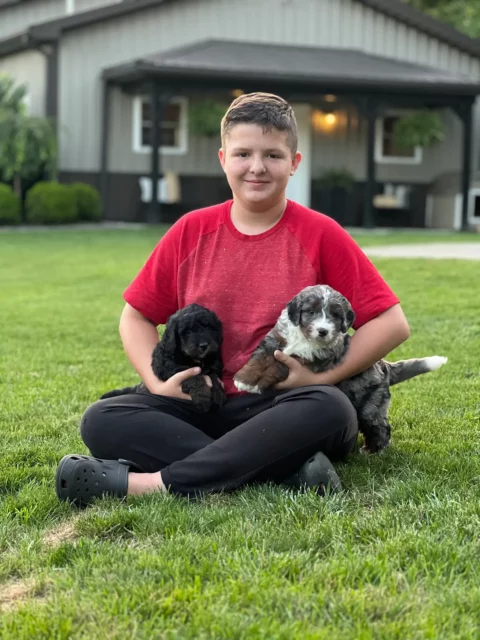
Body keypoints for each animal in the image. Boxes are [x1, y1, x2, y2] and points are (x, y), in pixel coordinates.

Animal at [234, 284, 448, 456]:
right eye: (310, 311)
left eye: (336, 316)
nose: (323, 331)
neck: (303, 338)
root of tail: (384, 366)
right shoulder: (276, 340)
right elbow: (261, 358)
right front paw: (245, 378)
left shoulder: (311, 359)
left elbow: (279, 366)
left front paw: (251, 383)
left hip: (371, 404)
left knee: (380, 426)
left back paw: (374, 450)